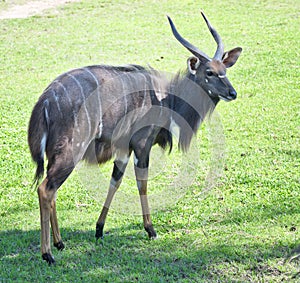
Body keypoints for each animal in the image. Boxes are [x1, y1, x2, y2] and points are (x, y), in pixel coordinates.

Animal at [28, 12, 241, 266]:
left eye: (225, 69)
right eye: (209, 72)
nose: (232, 93)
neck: (165, 99)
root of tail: (45, 100)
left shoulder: (123, 150)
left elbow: (115, 181)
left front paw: (99, 229)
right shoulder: (141, 145)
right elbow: (142, 183)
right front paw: (150, 229)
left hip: (56, 155)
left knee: (52, 191)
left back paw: (60, 243)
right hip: (71, 153)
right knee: (46, 189)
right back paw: (47, 254)